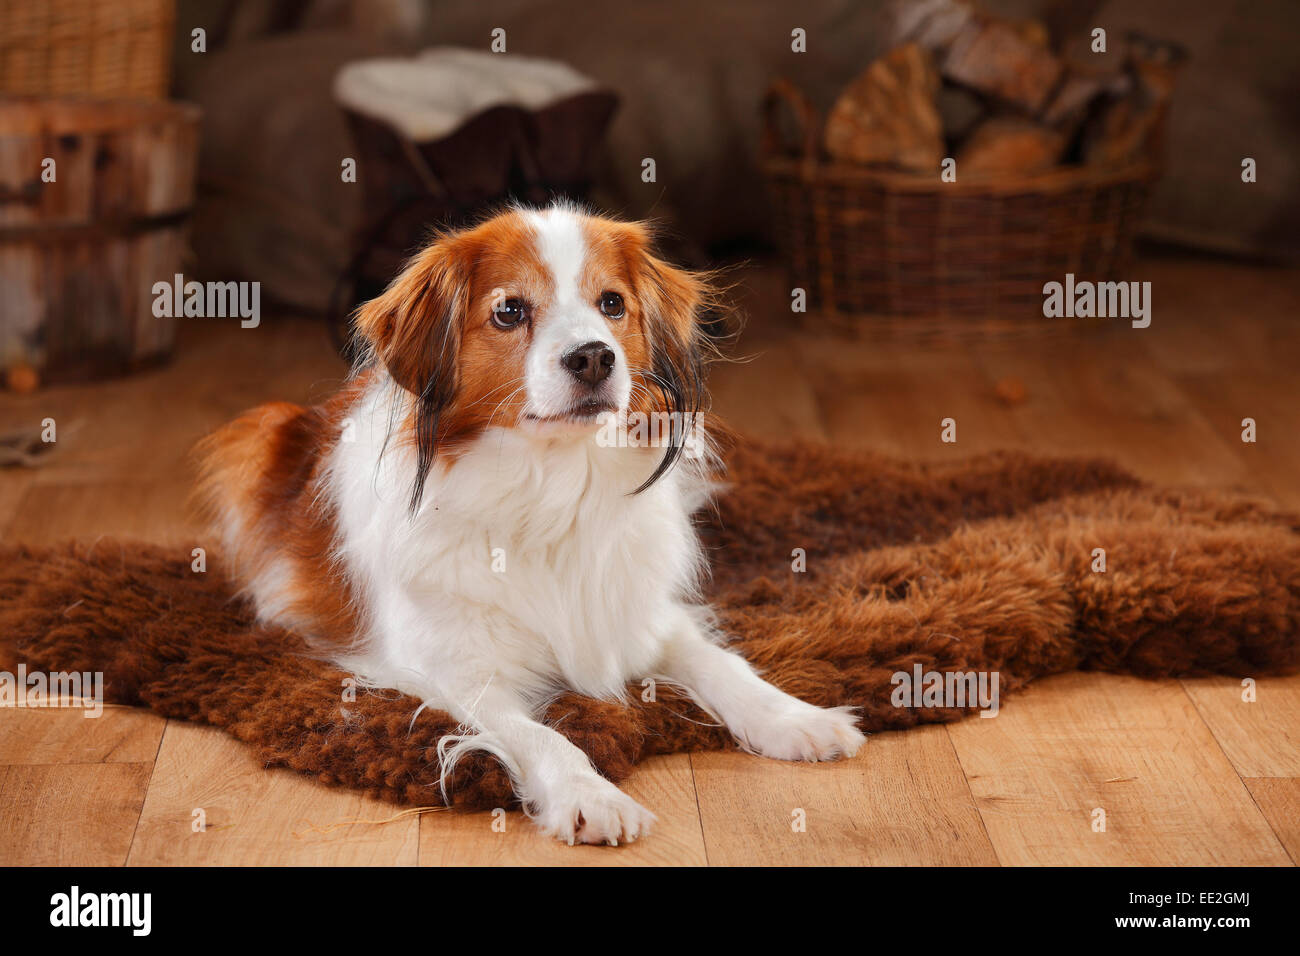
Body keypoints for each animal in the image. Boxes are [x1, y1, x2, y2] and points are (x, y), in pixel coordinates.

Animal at [197, 204, 868, 842]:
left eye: (612, 303)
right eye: (509, 311)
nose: (594, 356)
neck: (551, 487)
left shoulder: (639, 616)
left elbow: (722, 663)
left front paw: (795, 718)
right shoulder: (452, 669)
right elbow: (546, 735)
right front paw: (590, 796)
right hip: (259, 428)